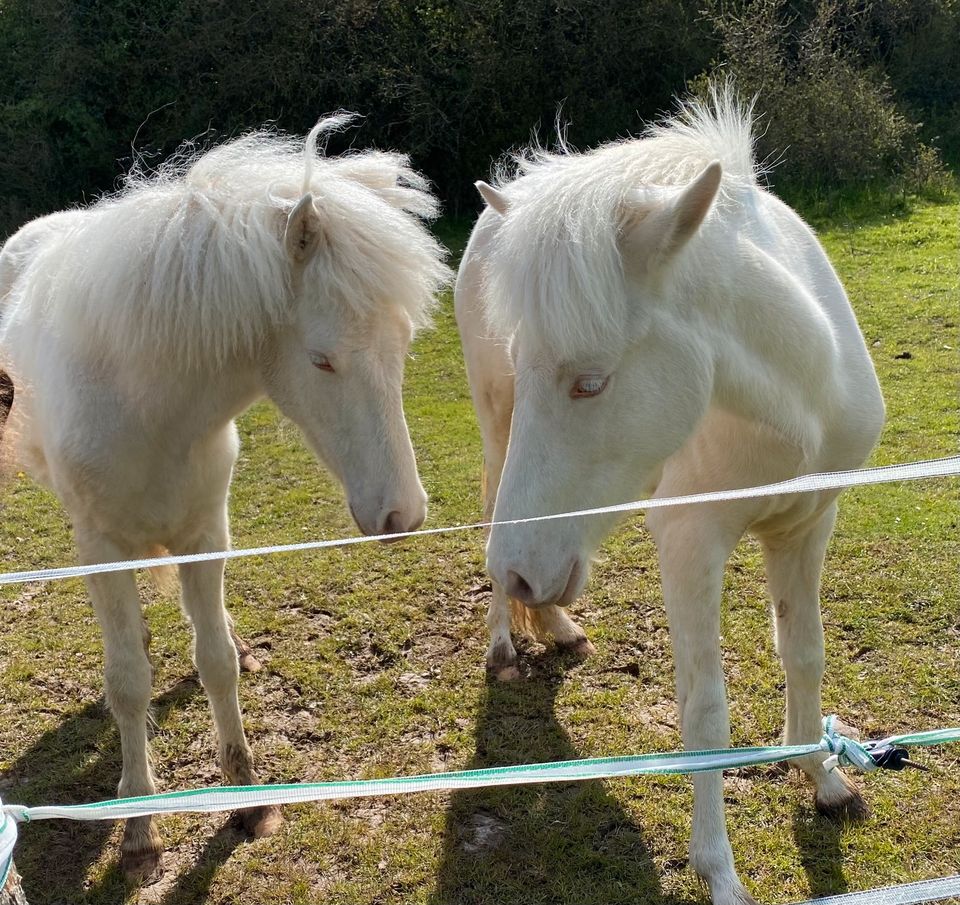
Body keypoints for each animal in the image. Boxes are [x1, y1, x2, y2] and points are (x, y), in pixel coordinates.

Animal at [0, 116, 450, 880]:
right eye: (322, 359)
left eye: (402, 343)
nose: (402, 515)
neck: (149, 405)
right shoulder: (102, 545)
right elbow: (127, 682)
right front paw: (140, 830)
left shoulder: (207, 534)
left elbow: (216, 662)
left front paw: (247, 798)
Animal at [456, 86, 884, 904]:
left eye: (591, 382)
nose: (522, 571)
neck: (795, 397)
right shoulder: (691, 541)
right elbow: (705, 712)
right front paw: (720, 871)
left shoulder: (809, 526)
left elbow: (805, 652)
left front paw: (822, 778)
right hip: (494, 427)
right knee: (492, 505)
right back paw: (505, 639)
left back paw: (555, 624)